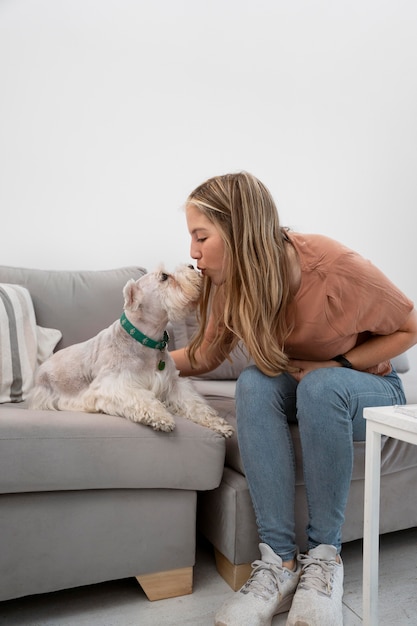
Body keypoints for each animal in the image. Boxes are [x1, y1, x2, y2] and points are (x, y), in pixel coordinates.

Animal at [29, 266, 234, 436]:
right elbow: (142, 398)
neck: (146, 340)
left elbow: (193, 402)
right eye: (164, 276)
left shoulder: (173, 383)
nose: (192, 266)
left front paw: (218, 423)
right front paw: (162, 417)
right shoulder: (114, 385)